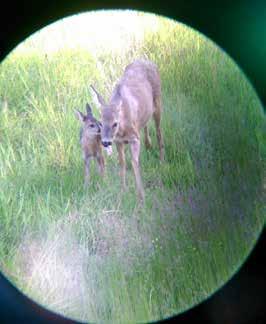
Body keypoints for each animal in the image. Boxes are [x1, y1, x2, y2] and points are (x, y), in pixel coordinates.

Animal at [90, 59, 164, 201]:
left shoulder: (134, 139)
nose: (105, 142)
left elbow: (134, 162)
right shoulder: (118, 141)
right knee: (145, 124)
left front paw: (141, 196)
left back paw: (162, 160)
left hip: (158, 102)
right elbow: (122, 163)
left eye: (115, 123)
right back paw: (148, 144)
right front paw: (123, 191)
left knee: (159, 132)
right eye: (100, 123)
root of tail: (147, 60)